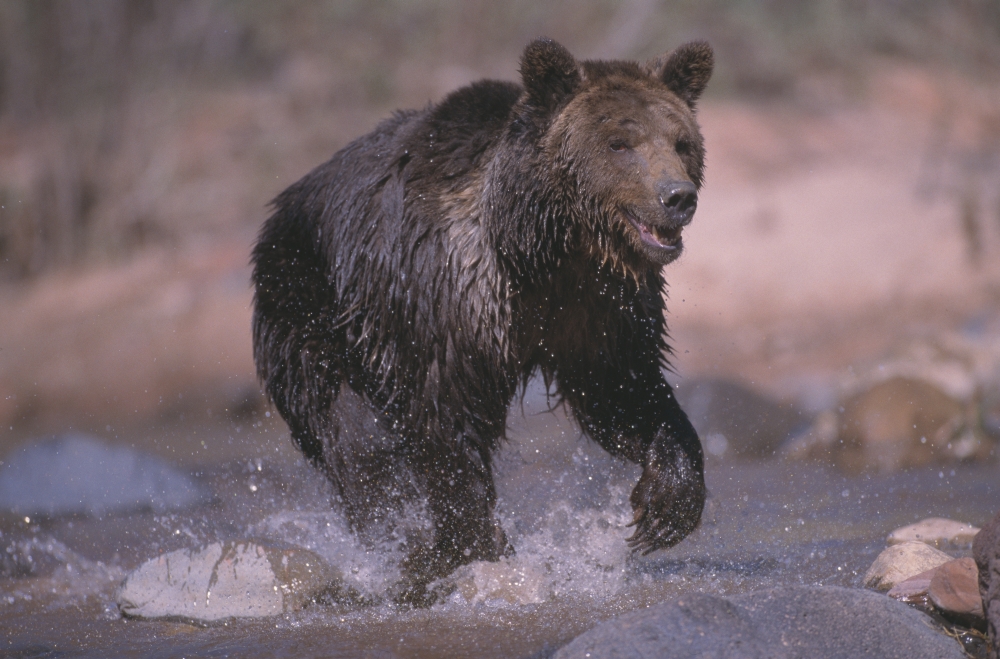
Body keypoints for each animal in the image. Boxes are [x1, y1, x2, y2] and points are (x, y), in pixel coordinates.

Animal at [251, 38, 712, 602]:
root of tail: (282, 203)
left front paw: (665, 505)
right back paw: (406, 544)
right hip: (309, 303)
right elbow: (443, 419)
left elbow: (624, 393)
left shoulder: (600, 309)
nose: (677, 196)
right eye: (619, 143)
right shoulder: (446, 297)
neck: (542, 248)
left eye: (681, 142)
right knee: (354, 437)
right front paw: (477, 547)